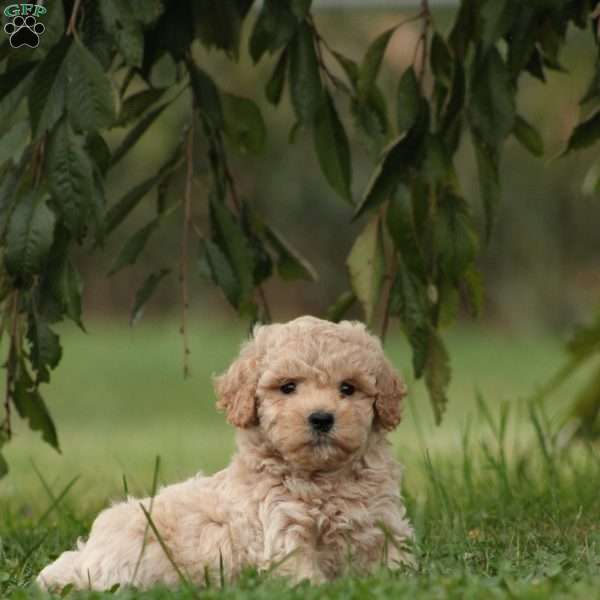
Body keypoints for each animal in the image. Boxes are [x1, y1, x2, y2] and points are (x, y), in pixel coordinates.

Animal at [36, 316, 412, 588]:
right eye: (288, 387)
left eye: (348, 388)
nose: (321, 418)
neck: (325, 479)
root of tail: (83, 555)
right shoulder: (283, 534)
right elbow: (306, 579)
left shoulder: (383, 524)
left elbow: (396, 565)